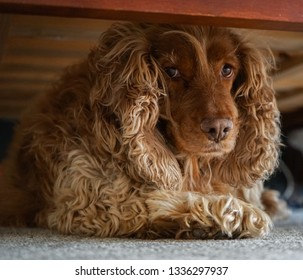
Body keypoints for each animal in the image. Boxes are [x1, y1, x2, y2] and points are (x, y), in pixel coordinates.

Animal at [0, 22, 288, 238]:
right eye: (171, 71)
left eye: (227, 69)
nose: (219, 128)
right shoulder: (91, 198)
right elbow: (154, 200)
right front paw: (232, 212)